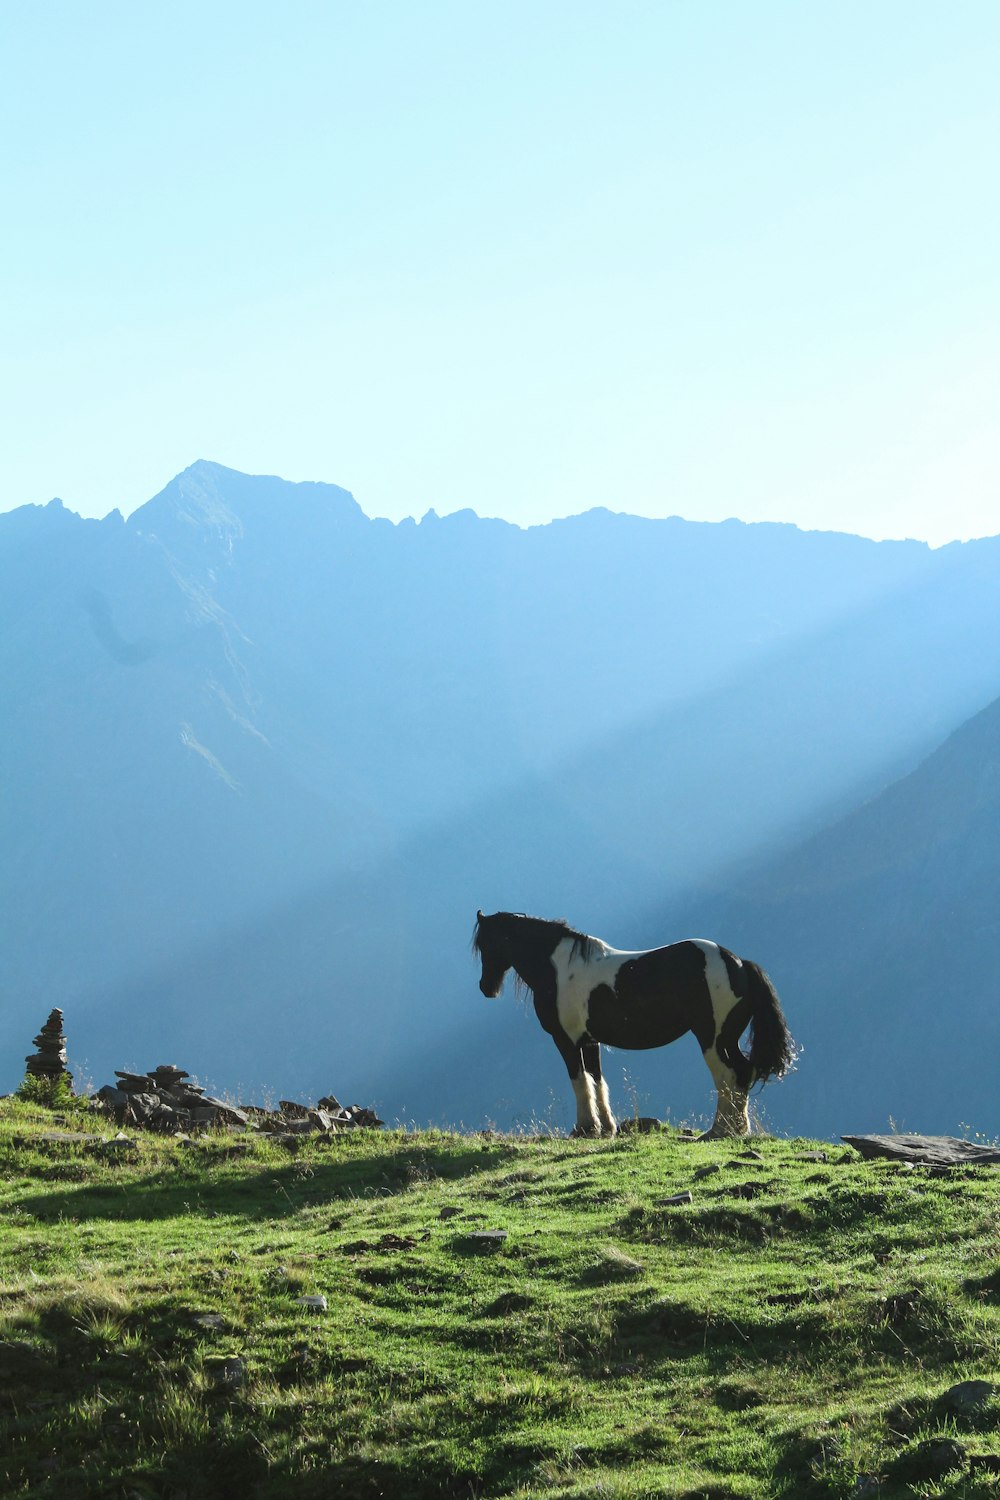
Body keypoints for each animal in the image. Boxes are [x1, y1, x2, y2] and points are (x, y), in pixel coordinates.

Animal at [470, 912, 797, 1134]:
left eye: (485, 944)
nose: (486, 988)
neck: (558, 969)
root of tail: (738, 963)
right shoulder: (589, 1041)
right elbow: (597, 1080)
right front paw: (606, 1127)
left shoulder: (566, 1041)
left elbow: (579, 1081)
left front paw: (586, 1128)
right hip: (727, 1038)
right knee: (742, 1073)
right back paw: (735, 1129)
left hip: (712, 1039)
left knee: (728, 1076)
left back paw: (719, 1130)